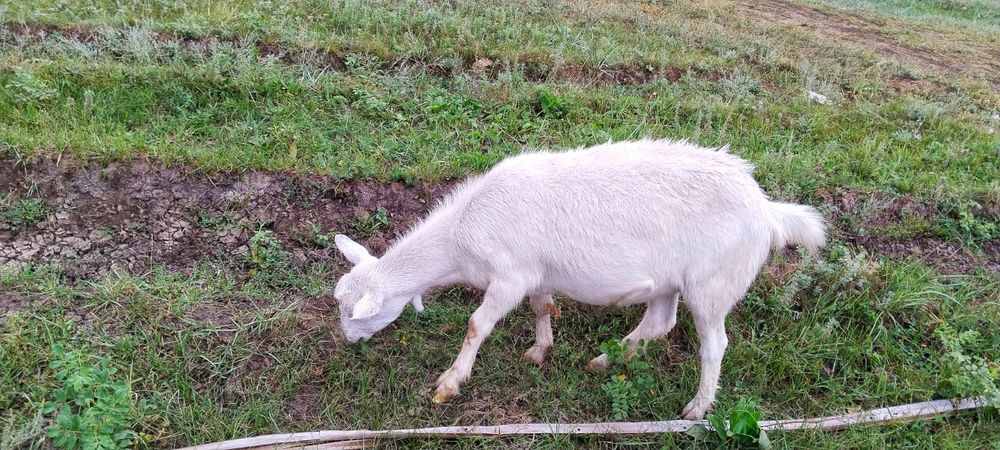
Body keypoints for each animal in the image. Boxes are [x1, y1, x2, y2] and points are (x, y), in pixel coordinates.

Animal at [332, 138, 826, 419]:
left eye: (355, 314)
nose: (347, 341)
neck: (460, 235)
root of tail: (767, 210)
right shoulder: (536, 274)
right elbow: (541, 307)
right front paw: (540, 349)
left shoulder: (510, 275)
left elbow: (476, 324)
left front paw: (449, 384)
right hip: (668, 282)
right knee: (660, 323)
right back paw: (605, 361)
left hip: (712, 282)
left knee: (714, 342)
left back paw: (698, 407)